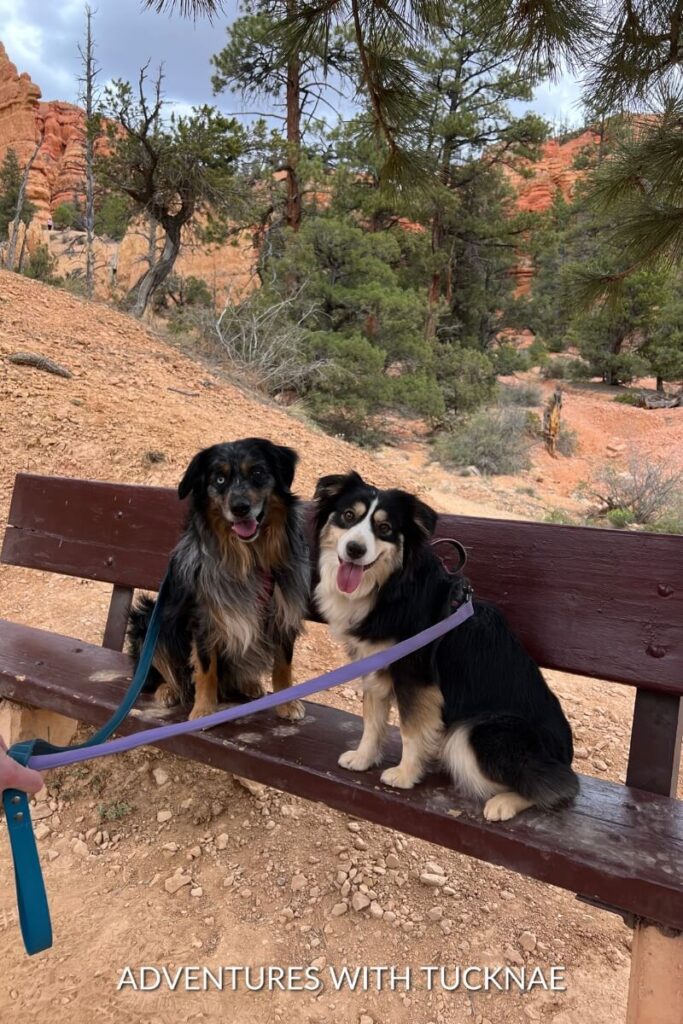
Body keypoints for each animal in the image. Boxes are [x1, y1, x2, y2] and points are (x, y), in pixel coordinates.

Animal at [313, 473, 577, 823]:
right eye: (347, 516)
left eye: (385, 528)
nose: (355, 550)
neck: (392, 587)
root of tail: (566, 754)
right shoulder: (376, 666)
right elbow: (372, 720)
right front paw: (362, 758)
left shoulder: (415, 674)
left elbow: (411, 729)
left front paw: (404, 775)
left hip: (477, 733)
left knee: (557, 785)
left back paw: (504, 803)